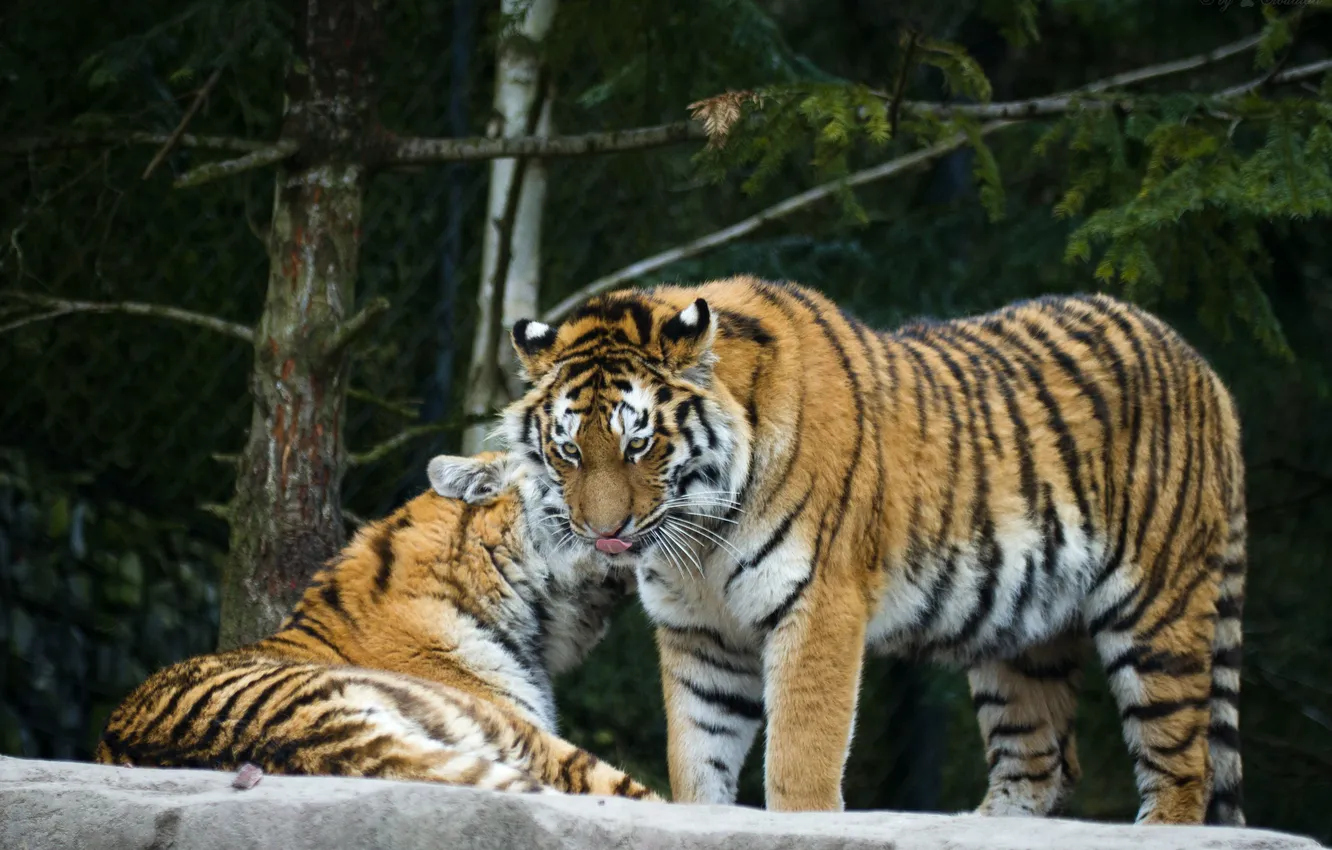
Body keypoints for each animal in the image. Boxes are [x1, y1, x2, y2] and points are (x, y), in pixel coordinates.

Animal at [498, 276, 1246, 825]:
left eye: (639, 444)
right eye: (568, 451)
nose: (603, 532)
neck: (701, 537)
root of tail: (1201, 366)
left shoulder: (819, 608)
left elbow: (800, 755)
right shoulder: (700, 633)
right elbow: (698, 753)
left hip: (1157, 608)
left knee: (1185, 763)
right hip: (1021, 631)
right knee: (1040, 760)